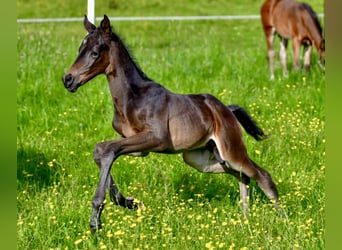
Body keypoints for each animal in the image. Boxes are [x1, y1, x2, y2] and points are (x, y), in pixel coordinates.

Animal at [62, 14, 278, 231]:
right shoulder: (139, 147)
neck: (132, 97)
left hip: (231, 150)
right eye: (80, 49)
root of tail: (226, 109)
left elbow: (107, 149)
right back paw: (245, 221)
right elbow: (102, 150)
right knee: (244, 176)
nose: (67, 79)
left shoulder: (157, 138)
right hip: (201, 159)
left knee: (263, 175)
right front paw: (129, 202)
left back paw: (280, 219)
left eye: (95, 52)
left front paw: (96, 217)